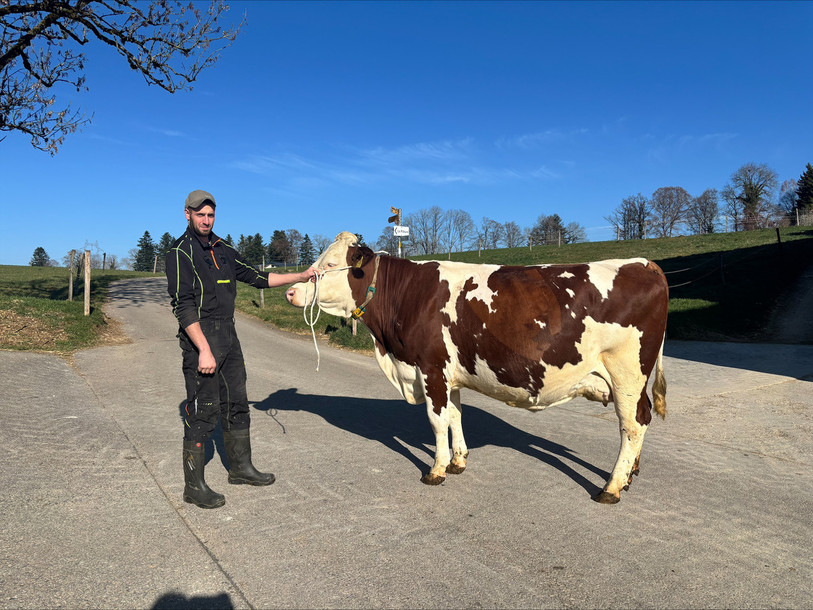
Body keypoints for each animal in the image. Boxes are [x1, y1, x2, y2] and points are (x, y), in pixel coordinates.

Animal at [286, 232, 668, 504]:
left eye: (329, 264)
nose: (290, 292)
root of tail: (646, 264)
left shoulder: (430, 368)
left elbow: (437, 420)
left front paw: (436, 469)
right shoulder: (449, 375)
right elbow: (455, 416)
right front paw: (458, 461)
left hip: (626, 373)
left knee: (632, 424)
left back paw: (611, 487)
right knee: (642, 417)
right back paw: (630, 475)